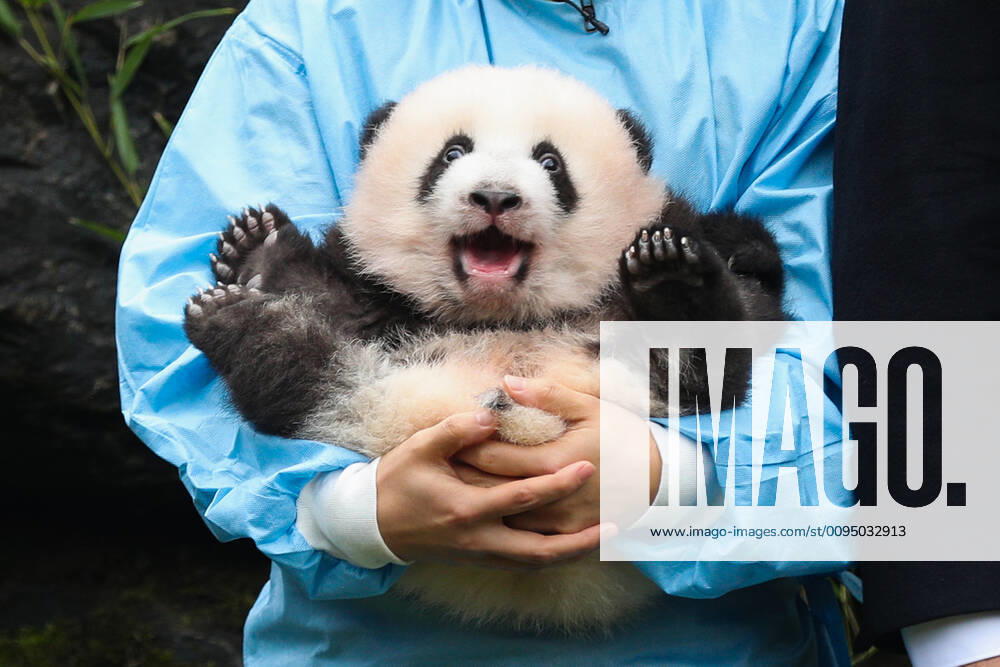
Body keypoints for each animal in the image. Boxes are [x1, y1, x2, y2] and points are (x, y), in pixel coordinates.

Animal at [183, 65, 786, 634]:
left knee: (705, 359)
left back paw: (676, 280)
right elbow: (338, 298)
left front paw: (676, 262)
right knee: (299, 379)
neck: (500, 315)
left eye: (550, 162)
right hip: (376, 401)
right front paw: (262, 253)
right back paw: (249, 283)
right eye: (452, 153)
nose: (495, 196)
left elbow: (739, 338)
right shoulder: (381, 296)